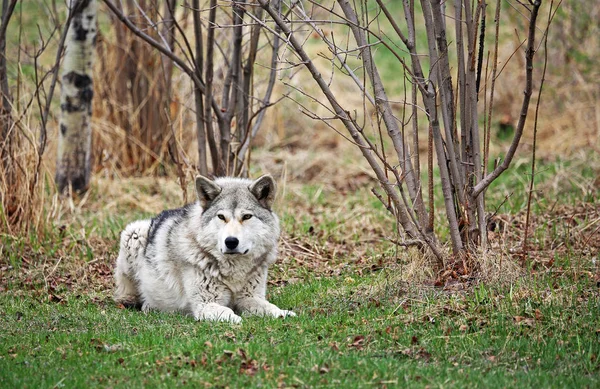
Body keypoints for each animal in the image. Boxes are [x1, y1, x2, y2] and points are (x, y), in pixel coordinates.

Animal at [113, 174, 296, 322]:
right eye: (221, 217)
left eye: (246, 216)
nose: (231, 241)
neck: (234, 271)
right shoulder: (205, 304)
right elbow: (229, 313)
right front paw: (237, 319)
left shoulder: (249, 298)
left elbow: (269, 307)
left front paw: (283, 313)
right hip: (134, 233)